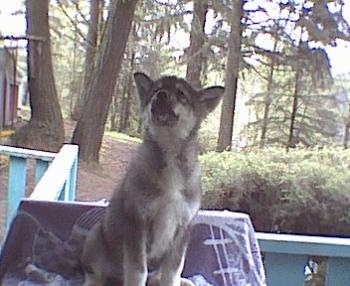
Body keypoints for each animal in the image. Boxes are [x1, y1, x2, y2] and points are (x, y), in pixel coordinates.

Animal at [80, 72, 224, 284]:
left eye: (181, 94)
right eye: (157, 89)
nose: (161, 95)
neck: (169, 151)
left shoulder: (182, 229)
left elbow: (172, 271)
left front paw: (175, 280)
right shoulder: (137, 223)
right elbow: (138, 270)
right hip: (95, 237)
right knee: (95, 272)